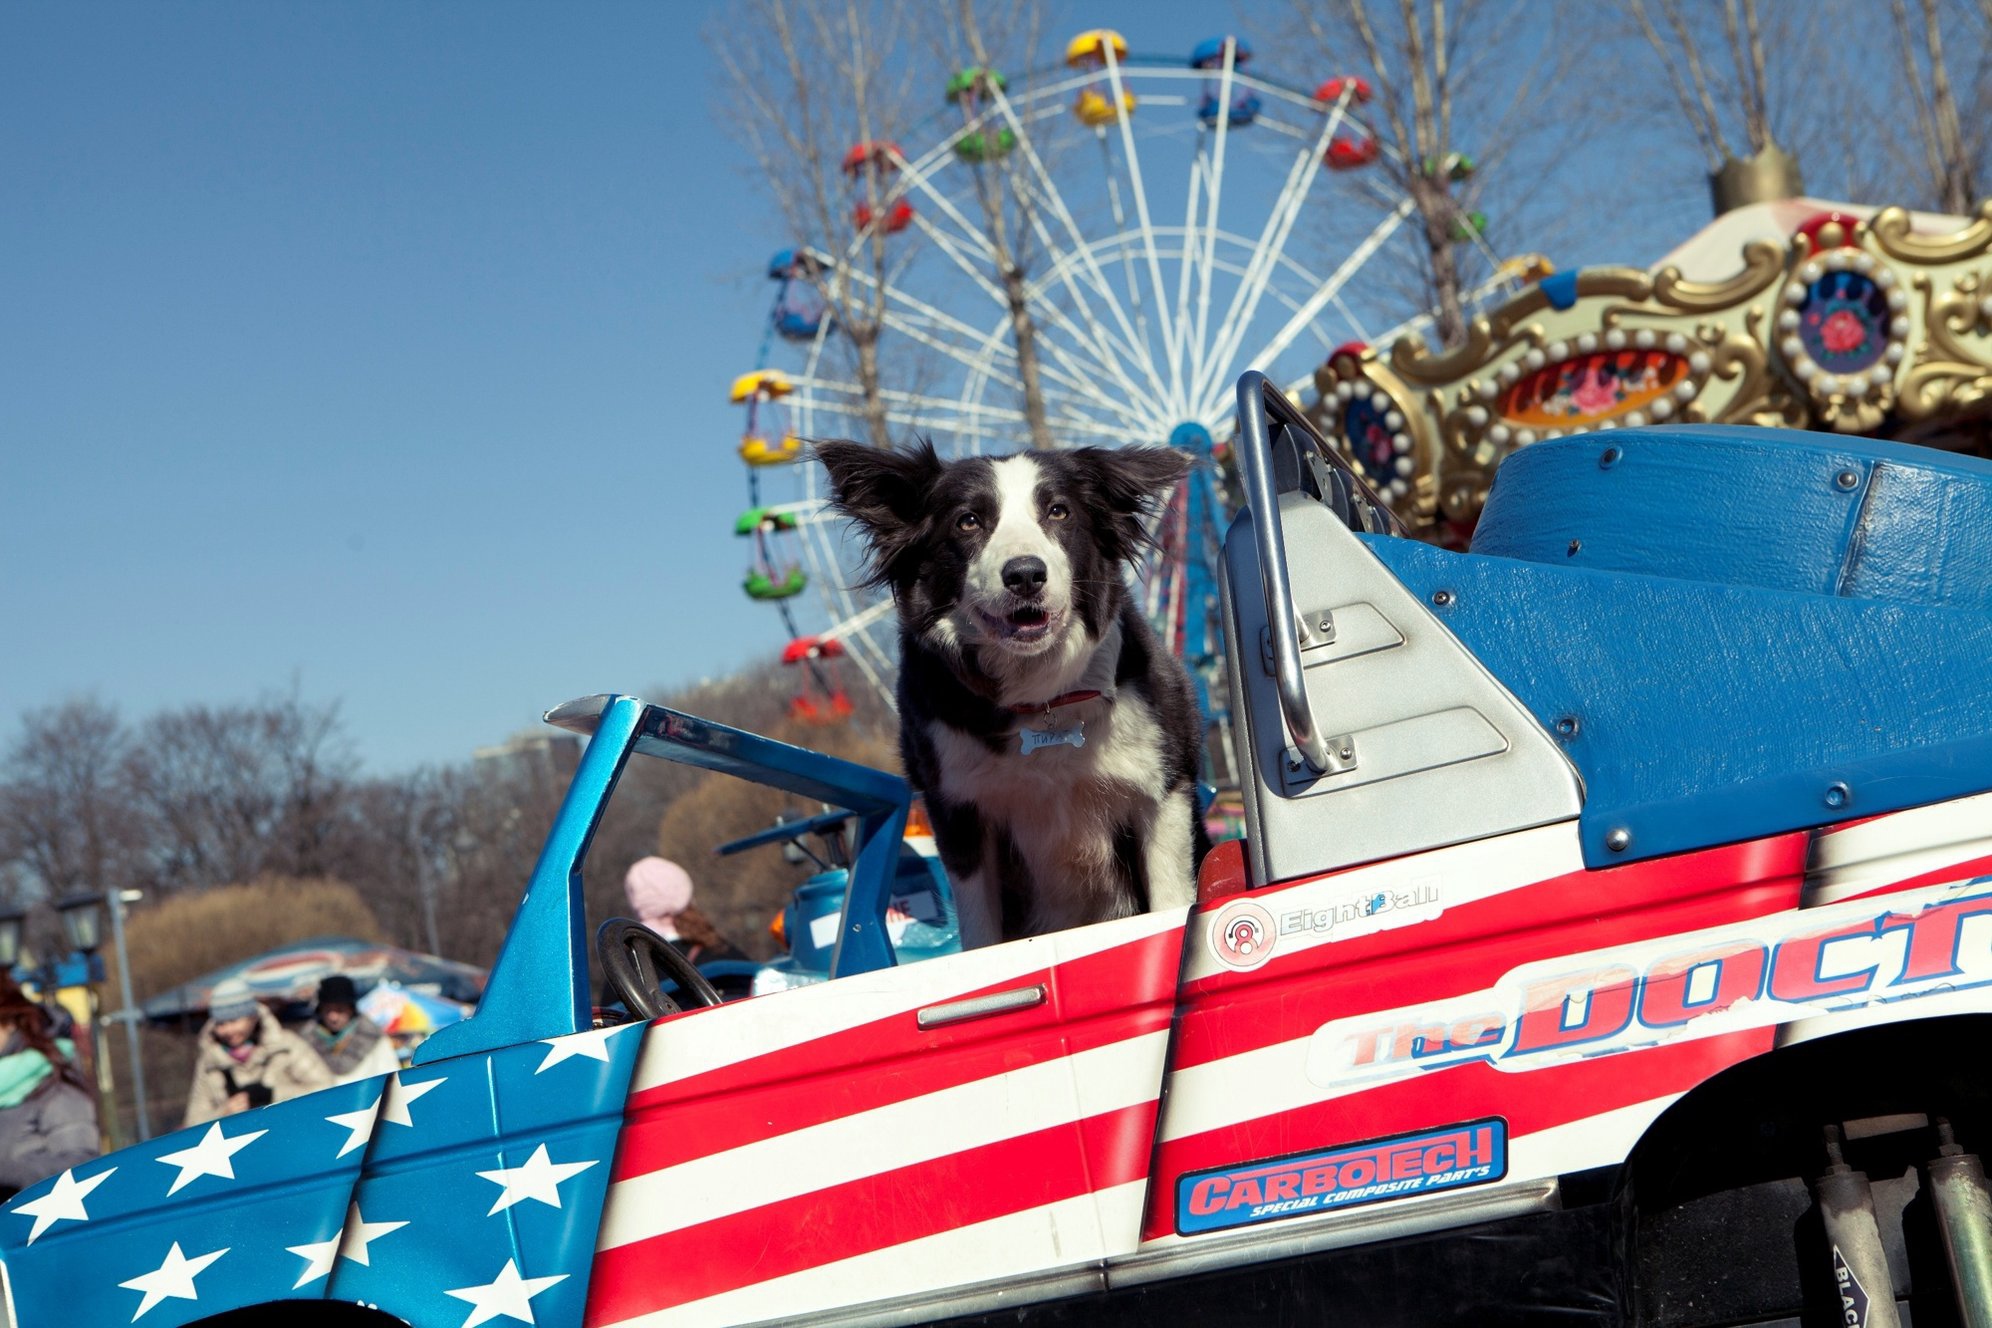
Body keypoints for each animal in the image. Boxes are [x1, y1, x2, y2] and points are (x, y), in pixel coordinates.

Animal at [812, 442, 1211, 951]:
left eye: (1059, 511)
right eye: (967, 521)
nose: (1024, 575)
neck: (1040, 699)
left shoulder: (1163, 790)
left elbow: (1169, 903)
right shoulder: (957, 815)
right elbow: (981, 933)